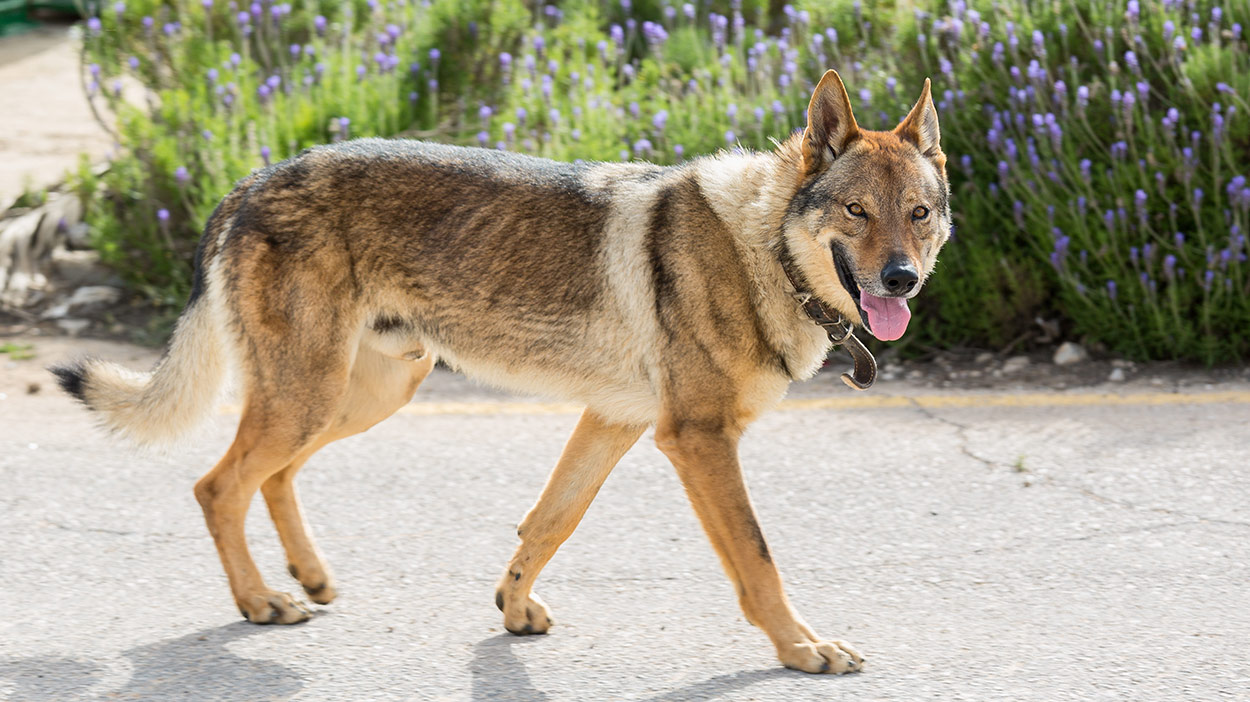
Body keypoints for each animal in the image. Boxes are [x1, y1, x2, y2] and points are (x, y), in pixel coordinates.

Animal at [48, 71, 945, 674]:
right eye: (857, 211)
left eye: (918, 213)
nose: (901, 280)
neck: (760, 247)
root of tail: (255, 178)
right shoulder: (696, 440)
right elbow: (759, 562)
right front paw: (803, 648)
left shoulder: (616, 422)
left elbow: (548, 522)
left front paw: (511, 609)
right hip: (312, 397)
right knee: (217, 484)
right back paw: (261, 600)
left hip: (354, 398)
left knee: (270, 476)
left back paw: (307, 577)